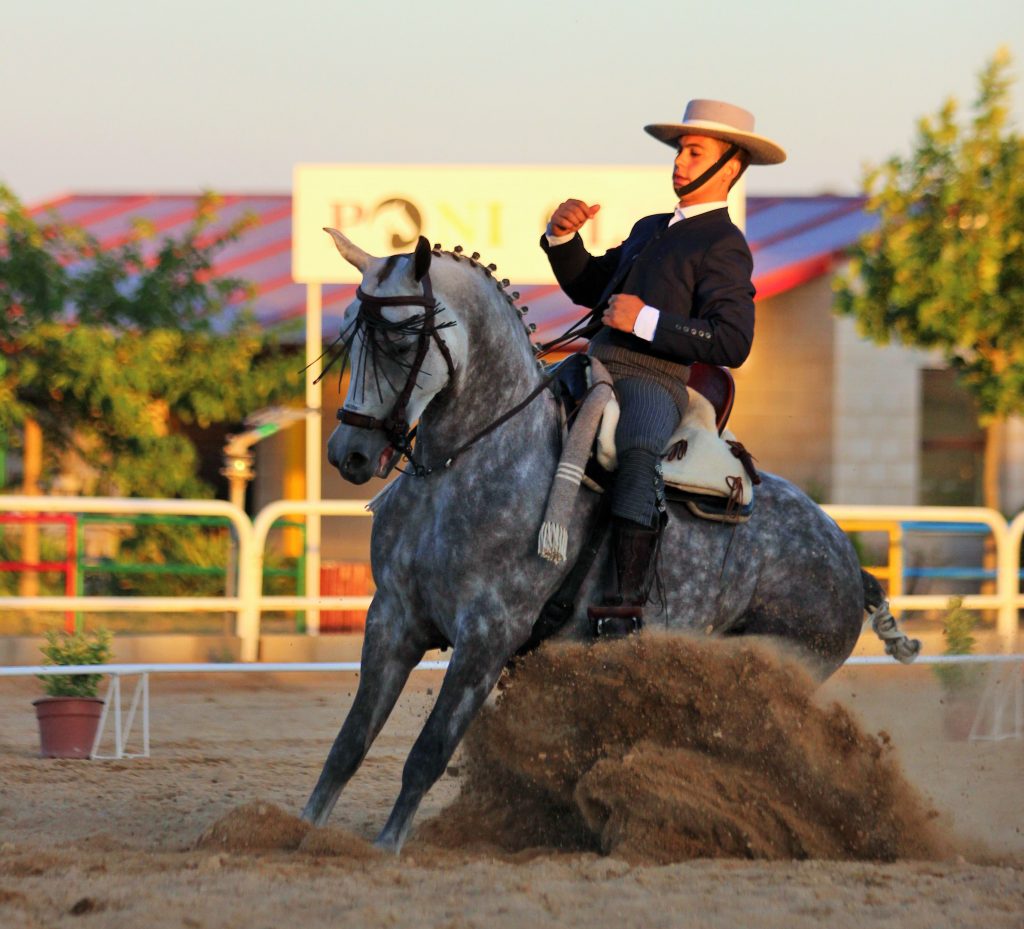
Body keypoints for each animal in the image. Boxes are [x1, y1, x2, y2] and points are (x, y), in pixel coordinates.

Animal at [299, 230, 917, 848]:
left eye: (401, 338)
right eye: (350, 326)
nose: (349, 454)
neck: (467, 463)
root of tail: (847, 560)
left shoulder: (488, 635)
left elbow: (428, 753)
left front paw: (386, 848)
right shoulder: (392, 618)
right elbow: (348, 744)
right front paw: (302, 833)